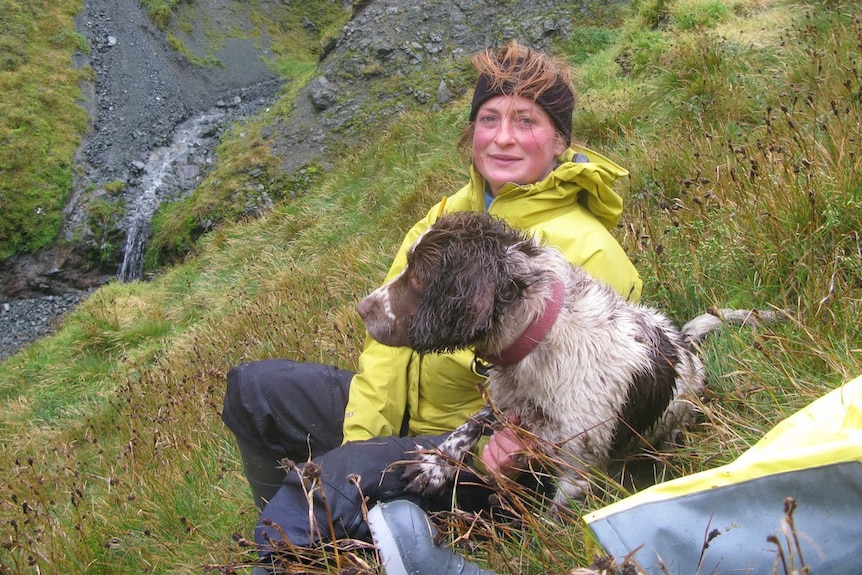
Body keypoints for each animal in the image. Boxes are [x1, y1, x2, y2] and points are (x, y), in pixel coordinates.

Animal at [356, 212, 776, 508]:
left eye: (418, 277)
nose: (361, 309)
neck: (538, 339)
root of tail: (685, 344)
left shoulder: (579, 467)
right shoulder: (511, 402)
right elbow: (472, 421)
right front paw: (436, 465)